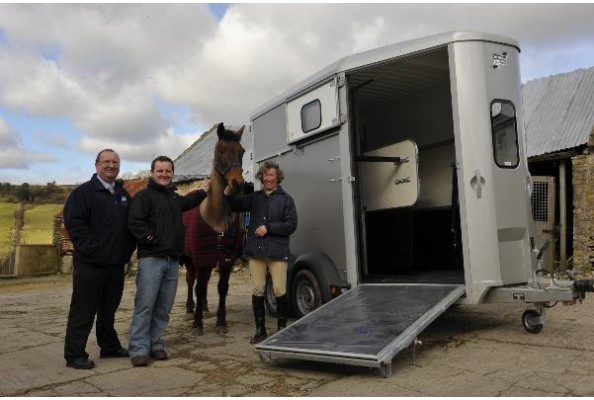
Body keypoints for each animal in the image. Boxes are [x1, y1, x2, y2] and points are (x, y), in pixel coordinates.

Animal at [182, 122, 244, 334]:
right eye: (221, 150)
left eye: (242, 151)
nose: (237, 183)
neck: (215, 216)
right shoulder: (201, 258)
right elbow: (199, 287)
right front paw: (197, 324)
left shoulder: (226, 260)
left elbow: (221, 288)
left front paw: (221, 322)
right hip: (190, 259)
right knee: (191, 280)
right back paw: (190, 310)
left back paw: (205, 309)